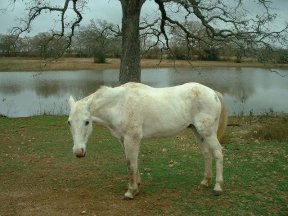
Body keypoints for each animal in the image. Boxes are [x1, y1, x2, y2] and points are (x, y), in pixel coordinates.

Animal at [67, 82, 227, 199]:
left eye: (87, 122)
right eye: (69, 122)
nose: (78, 152)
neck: (120, 105)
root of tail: (213, 93)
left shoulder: (132, 139)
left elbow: (131, 163)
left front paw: (130, 191)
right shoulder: (124, 140)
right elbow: (132, 162)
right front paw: (137, 186)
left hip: (208, 132)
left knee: (218, 153)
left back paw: (218, 187)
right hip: (198, 131)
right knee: (206, 154)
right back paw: (205, 182)